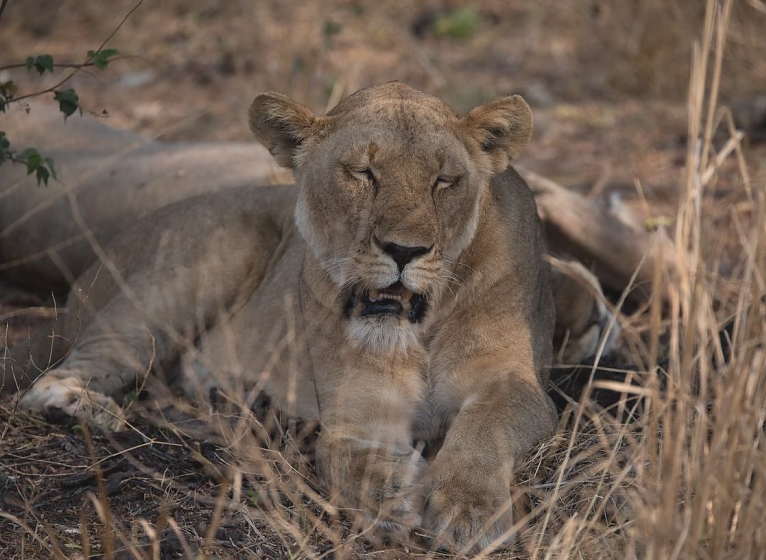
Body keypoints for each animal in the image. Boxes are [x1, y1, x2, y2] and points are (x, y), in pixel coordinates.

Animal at [0, 82, 617, 553]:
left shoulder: (512, 383)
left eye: (444, 182)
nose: (404, 251)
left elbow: (484, 428)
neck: (420, 327)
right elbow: (347, 459)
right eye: (362, 173)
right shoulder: (358, 411)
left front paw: (466, 510)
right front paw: (394, 500)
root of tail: (83, 281)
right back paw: (80, 405)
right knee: (63, 372)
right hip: (205, 255)